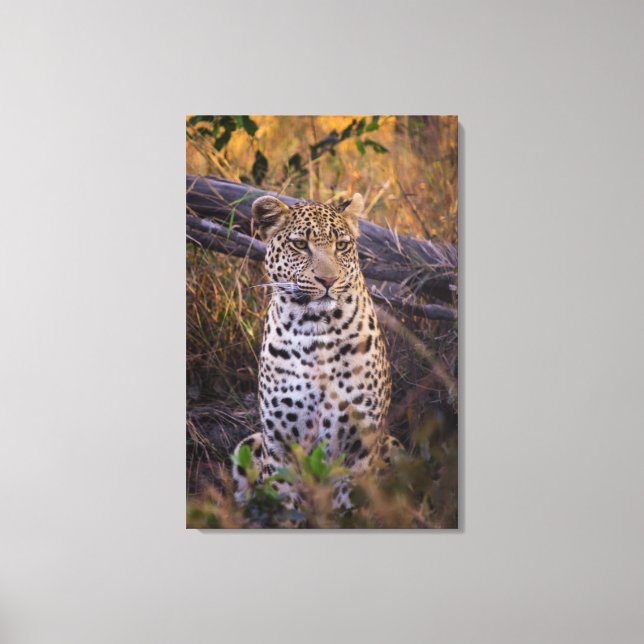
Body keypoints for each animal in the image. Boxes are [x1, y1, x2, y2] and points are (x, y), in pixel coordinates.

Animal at [233, 192, 402, 512]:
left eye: (342, 245)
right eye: (300, 245)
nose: (328, 281)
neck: (316, 331)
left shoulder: (360, 448)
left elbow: (350, 508)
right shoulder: (281, 446)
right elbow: (287, 508)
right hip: (249, 443)